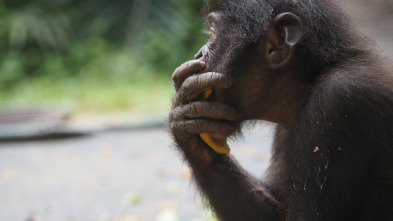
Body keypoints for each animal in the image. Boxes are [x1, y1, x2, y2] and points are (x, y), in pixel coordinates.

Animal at [168, 0, 392, 219]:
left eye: (213, 33)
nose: (198, 54)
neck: (306, 85)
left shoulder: (339, 101)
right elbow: (274, 209)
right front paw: (183, 120)